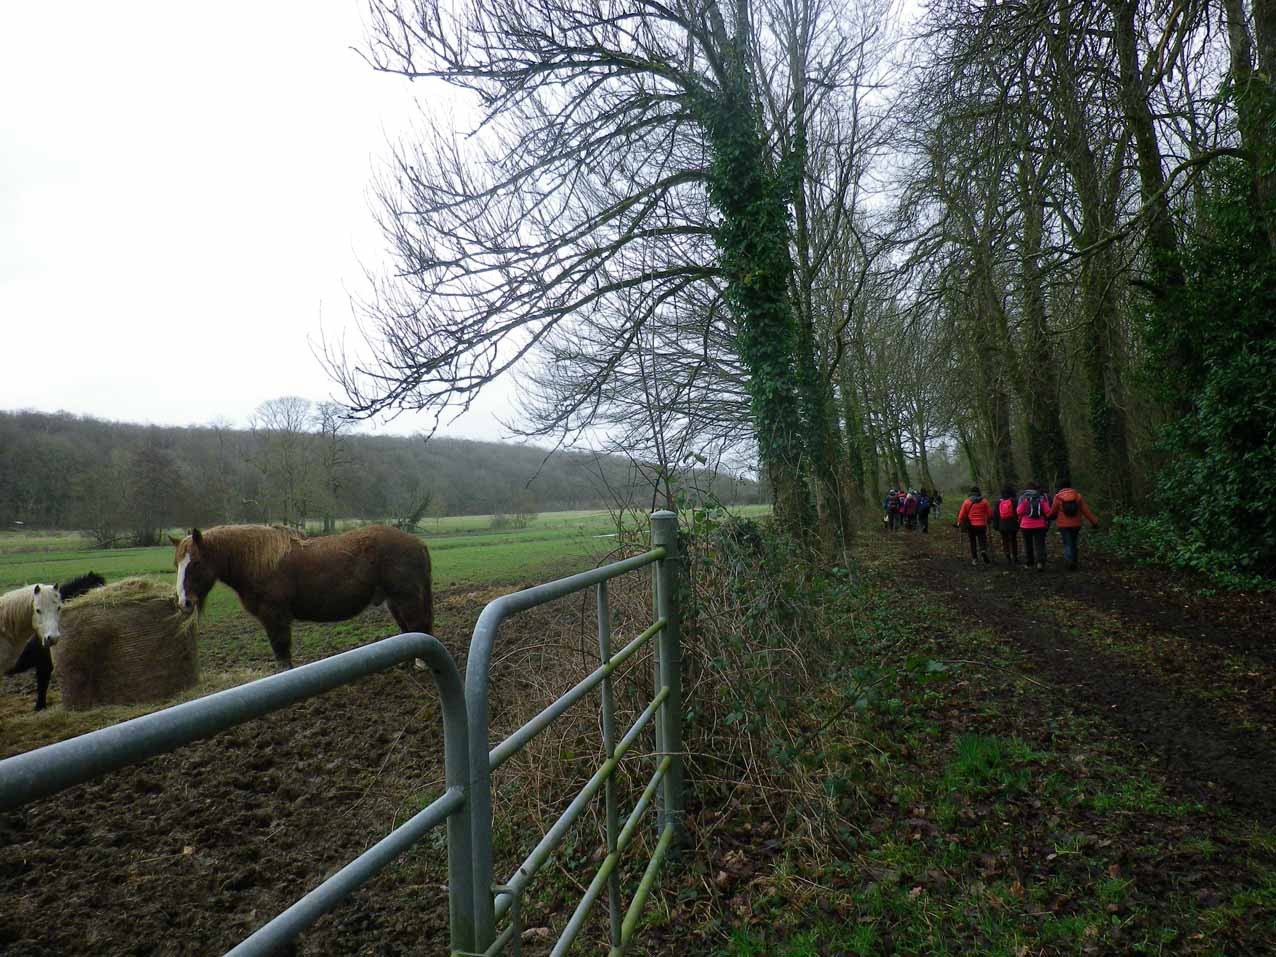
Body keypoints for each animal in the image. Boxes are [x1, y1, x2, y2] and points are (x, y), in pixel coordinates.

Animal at [172, 520, 431, 668]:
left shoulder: (275, 617)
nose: (184, 602)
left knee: (418, 626)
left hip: (406, 600)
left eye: (196, 563)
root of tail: (417, 542)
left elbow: (282, 654)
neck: (260, 562)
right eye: (177, 564)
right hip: (393, 602)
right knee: (409, 631)